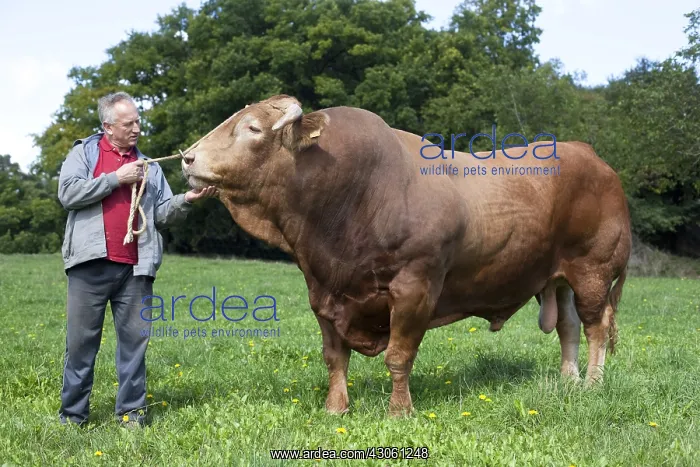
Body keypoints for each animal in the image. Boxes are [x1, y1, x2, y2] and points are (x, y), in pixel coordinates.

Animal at [180, 94, 631, 417]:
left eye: (252, 128)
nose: (187, 157)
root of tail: (588, 154)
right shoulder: (322, 292)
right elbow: (334, 358)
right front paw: (334, 409)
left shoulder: (416, 287)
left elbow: (399, 356)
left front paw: (399, 411)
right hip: (558, 277)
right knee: (569, 326)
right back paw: (569, 381)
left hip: (593, 270)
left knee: (595, 327)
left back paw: (593, 384)